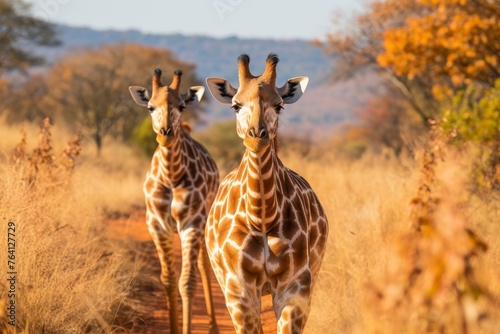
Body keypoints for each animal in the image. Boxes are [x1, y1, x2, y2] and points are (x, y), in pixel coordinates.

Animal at [129, 69, 219, 334]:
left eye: (181, 106)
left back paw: (213, 327)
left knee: (203, 266)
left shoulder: (192, 223)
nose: (165, 133)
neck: (170, 175)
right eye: (150, 107)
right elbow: (168, 280)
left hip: (205, 221)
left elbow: (187, 282)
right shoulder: (157, 225)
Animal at [205, 53, 330, 332]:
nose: (257, 136)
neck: (262, 217)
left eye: (279, 105)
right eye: (236, 105)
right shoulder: (238, 288)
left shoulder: (296, 285)